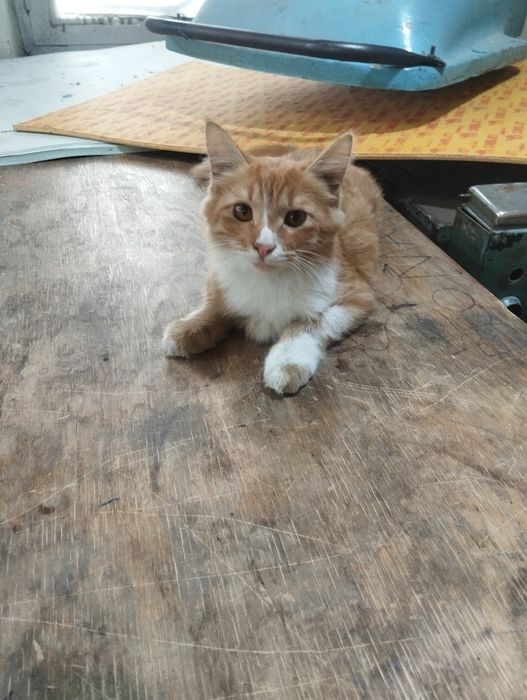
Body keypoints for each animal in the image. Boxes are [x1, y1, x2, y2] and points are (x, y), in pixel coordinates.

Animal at [163, 121, 382, 395]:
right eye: (242, 211)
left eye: (295, 218)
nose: (264, 247)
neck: (269, 279)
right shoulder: (220, 277)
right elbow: (217, 303)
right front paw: (191, 326)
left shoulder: (356, 295)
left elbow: (311, 322)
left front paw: (287, 360)